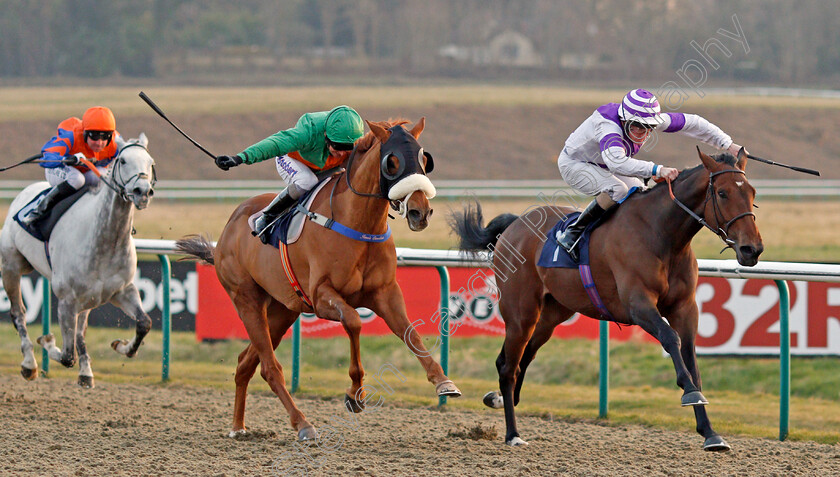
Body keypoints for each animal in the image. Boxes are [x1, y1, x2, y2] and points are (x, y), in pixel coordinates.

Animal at [1, 133, 158, 386]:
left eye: (150, 162)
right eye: (123, 160)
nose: (142, 191)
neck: (106, 240)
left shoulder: (122, 290)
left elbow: (144, 323)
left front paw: (121, 346)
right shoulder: (67, 300)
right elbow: (67, 356)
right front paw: (47, 341)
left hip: (89, 297)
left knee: (80, 330)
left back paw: (86, 371)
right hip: (11, 267)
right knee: (19, 314)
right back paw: (29, 364)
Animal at [176, 118, 460, 438]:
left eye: (425, 160)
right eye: (392, 161)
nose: (419, 212)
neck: (357, 223)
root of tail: (226, 232)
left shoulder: (386, 292)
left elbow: (410, 333)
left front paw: (443, 382)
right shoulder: (323, 296)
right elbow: (354, 321)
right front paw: (354, 395)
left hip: (283, 310)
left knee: (246, 363)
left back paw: (239, 427)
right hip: (247, 300)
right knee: (270, 368)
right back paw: (302, 423)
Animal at [452, 148, 760, 450]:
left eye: (753, 193)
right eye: (722, 193)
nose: (752, 249)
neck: (661, 233)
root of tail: (516, 224)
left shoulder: (684, 308)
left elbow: (691, 359)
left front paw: (710, 432)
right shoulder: (638, 304)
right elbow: (670, 339)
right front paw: (690, 392)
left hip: (552, 314)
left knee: (522, 357)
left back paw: (500, 399)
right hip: (521, 312)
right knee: (508, 366)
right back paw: (512, 433)